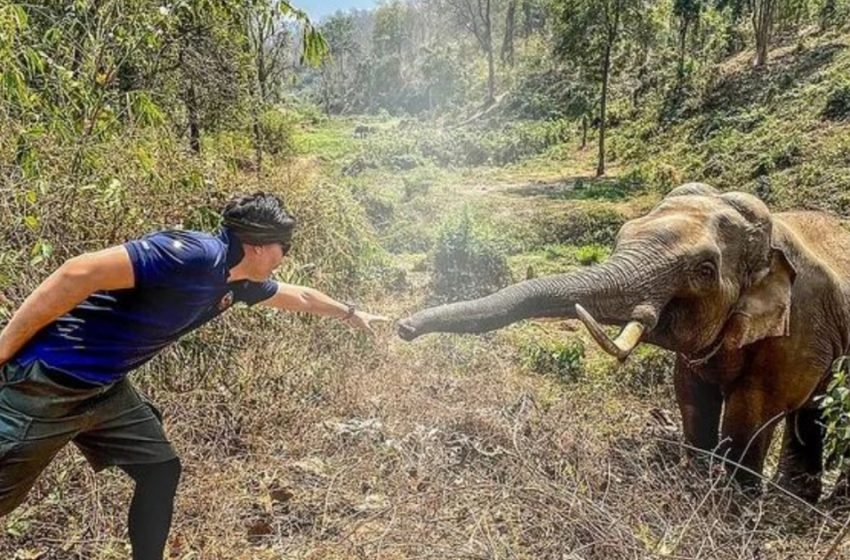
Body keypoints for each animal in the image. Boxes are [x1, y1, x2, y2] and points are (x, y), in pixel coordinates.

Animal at [396, 184, 848, 504]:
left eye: (704, 269)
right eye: (622, 235)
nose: (403, 327)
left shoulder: (800, 326)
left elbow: (753, 410)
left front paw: (733, 506)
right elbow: (691, 395)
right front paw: (696, 484)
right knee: (813, 411)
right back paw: (799, 499)